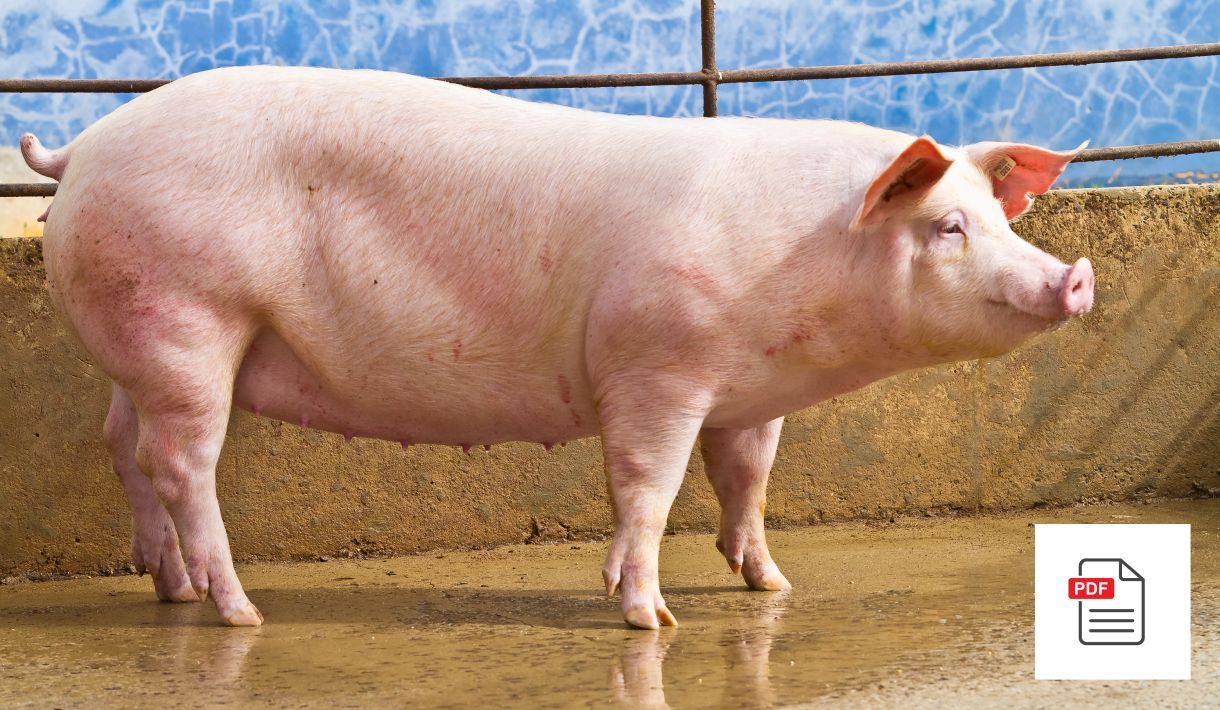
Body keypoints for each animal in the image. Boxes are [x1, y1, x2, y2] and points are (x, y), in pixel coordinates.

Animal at [20, 66, 1094, 629]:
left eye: (998, 218)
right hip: (186, 316)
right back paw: (238, 610)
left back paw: (170, 589)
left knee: (125, 447)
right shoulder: (656, 364)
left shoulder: (748, 393)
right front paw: (650, 617)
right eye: (948, 227)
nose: (1074, 277)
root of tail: (85, 147)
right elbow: (648, 487)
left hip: (141, 343)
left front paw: (773, 584)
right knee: (182, 463)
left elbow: (747, 481)